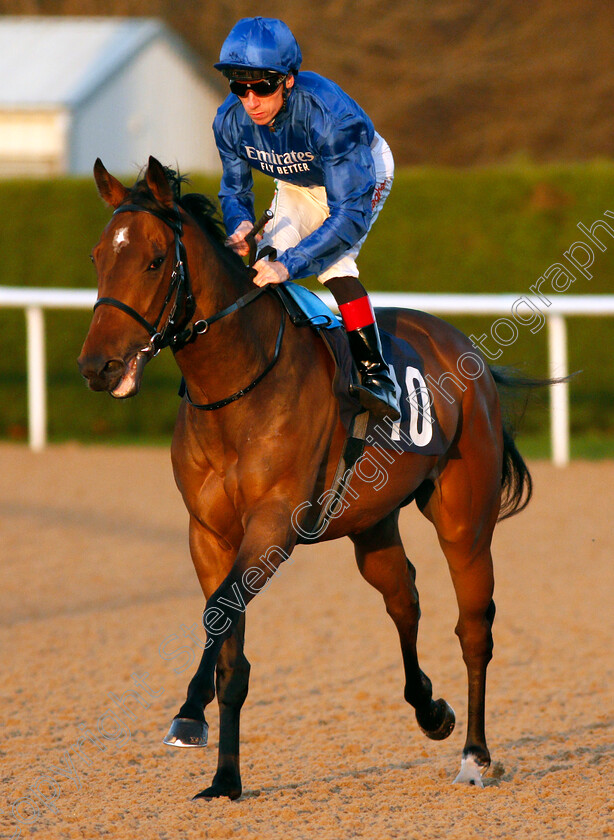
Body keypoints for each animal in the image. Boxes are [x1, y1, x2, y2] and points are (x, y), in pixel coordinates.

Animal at [80, 159, 536, 800]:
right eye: (99, 256)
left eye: (153, 260)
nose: (98, 367)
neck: (238, 386)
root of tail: (464, 347)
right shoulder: (208, 532)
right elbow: (227, 640)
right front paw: (222, 774)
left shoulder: (274, 527)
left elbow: (220, 612)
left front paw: (192, 721)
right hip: (372, 523)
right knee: (404, 598)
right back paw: (431, 710)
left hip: (464, 522)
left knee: (474, 628)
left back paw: (474, 755)